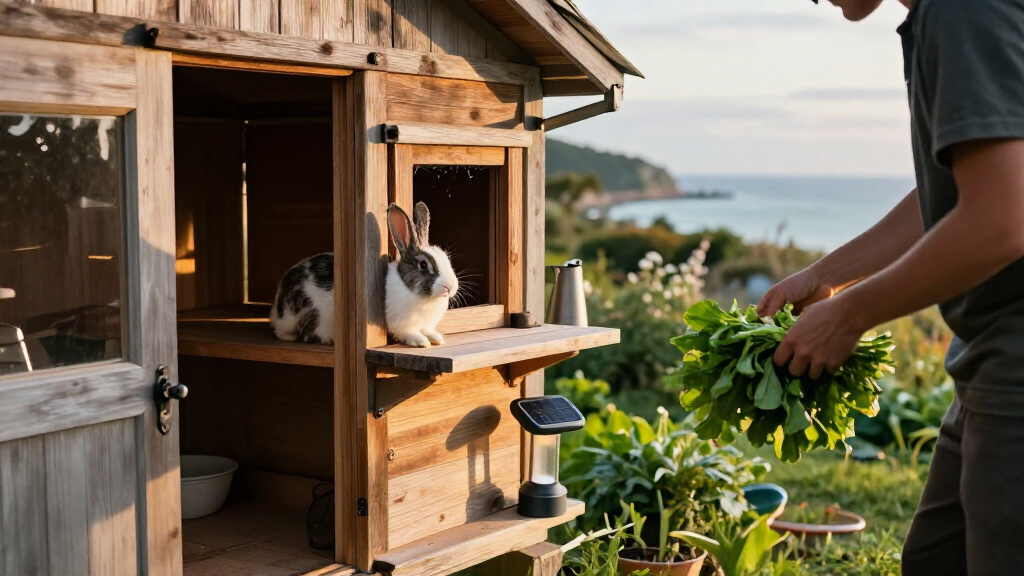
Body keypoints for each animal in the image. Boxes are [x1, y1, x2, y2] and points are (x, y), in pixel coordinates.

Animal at [385, 202, 459, 348]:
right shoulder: (402, 326)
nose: (449, 287)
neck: (426, 299)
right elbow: (410, 333)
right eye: (423, 265)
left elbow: (426, 330)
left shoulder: (426, 324)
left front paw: (436, 338)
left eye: (446, 258)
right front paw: (422, 342)